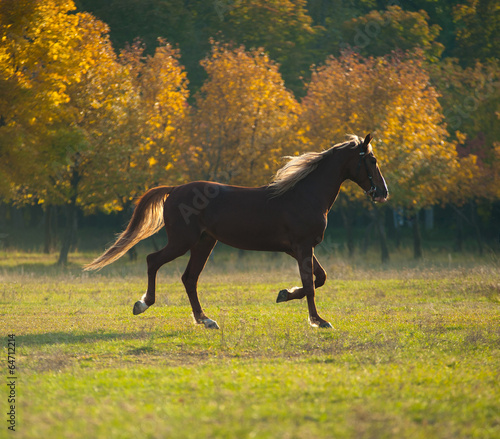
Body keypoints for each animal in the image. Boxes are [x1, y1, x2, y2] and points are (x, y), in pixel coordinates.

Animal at [85, 134, 386, 330]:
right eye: (371, 160)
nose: (382, 193)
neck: (303, 194)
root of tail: (174, 189)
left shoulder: (301, 248)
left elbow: (319, 278)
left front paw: (284, 294)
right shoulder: (302, 247)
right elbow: (312, 285)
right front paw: (318, 321)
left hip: (204, 243)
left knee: (189, 278)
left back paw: (205, 320)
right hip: (183, 242)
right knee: (153, 261)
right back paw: (144, 304)